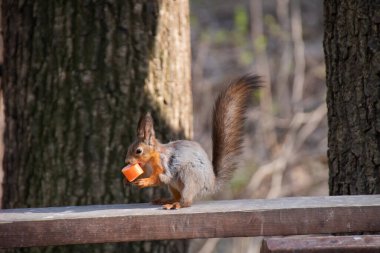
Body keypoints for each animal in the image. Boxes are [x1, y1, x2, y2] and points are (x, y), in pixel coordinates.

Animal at [124, 73, 262, 210]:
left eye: (138, 151)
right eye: (129, 148)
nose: (127, 162)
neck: (151, 160)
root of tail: (211, 184)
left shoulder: (164, 164)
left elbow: (161, 177)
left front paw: (145, 181)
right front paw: (129, 180)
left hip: (189, 176)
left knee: (187, 201)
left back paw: (176, 204)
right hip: (174, 186)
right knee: (177, 196)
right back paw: (167, 200)